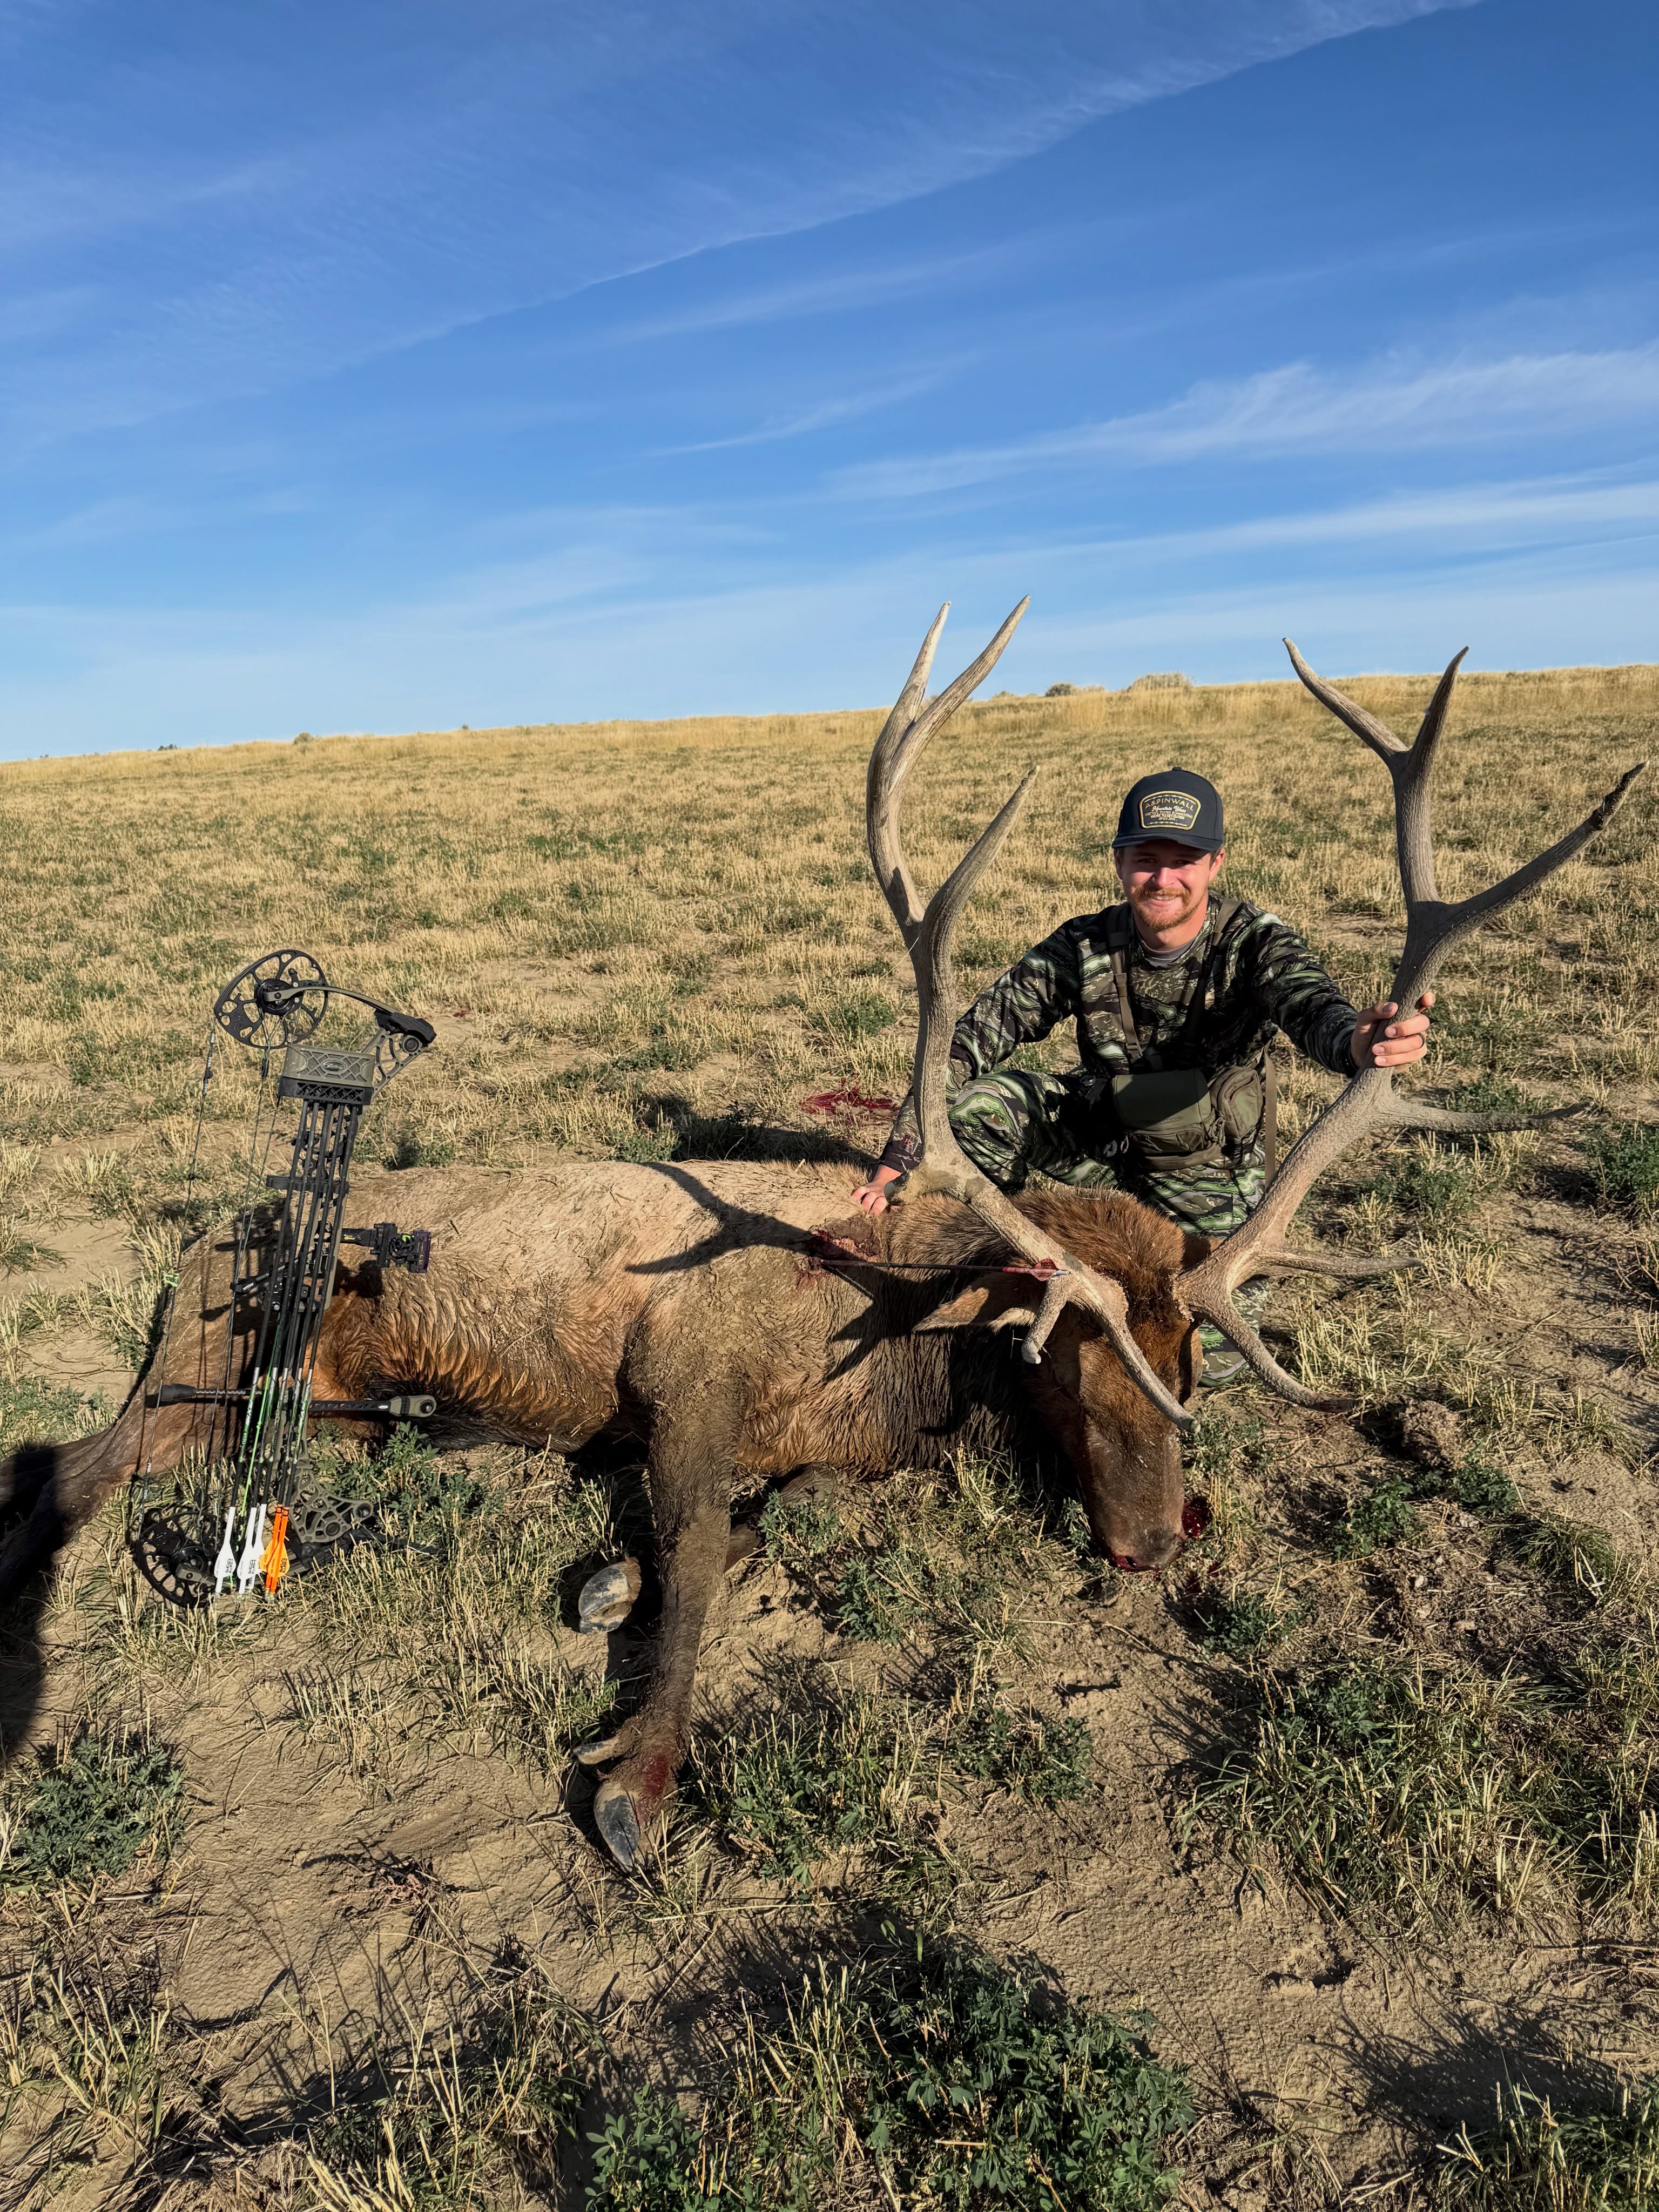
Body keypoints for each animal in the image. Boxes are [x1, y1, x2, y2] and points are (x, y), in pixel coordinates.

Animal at [0, 605, 1641, 1870]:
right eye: (1072, 1362)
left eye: (1191, 1361)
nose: (1148, 1544)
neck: (885, 1352)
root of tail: (200, 1244)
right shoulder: (682, 1389)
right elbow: (697, 1575)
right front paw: (636, 1779)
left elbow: (728, 1530)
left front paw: (609, 1583)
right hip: (207, 1365)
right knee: (68, 1465)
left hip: (309, 1406)